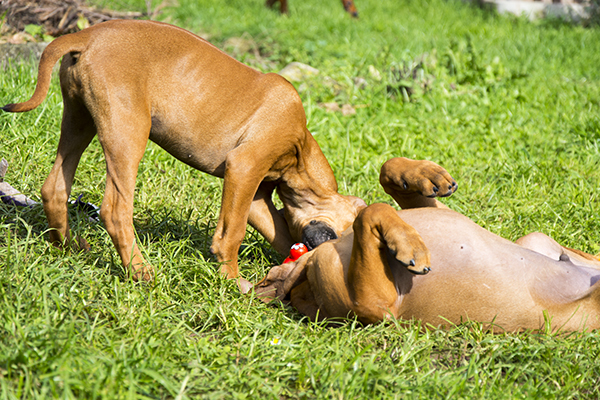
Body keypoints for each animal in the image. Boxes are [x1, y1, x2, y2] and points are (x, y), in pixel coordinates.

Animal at [1, 20, 366, 291]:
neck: (299, 148)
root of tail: (86, 35)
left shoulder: (255, 194)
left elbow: (280, 231)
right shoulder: (244, 168)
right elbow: (232, 233)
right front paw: (232, 281)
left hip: (79, 120)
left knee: (54, 188)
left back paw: (67, 247)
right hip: (128, 132)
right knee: (115, 210)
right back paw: (139, 271)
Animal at [256, 158, 600, 332]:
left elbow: (385, 173)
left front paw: (426, 174)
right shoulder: (374, 305)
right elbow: (372, 210)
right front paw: (410, 245)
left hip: (538, 240)